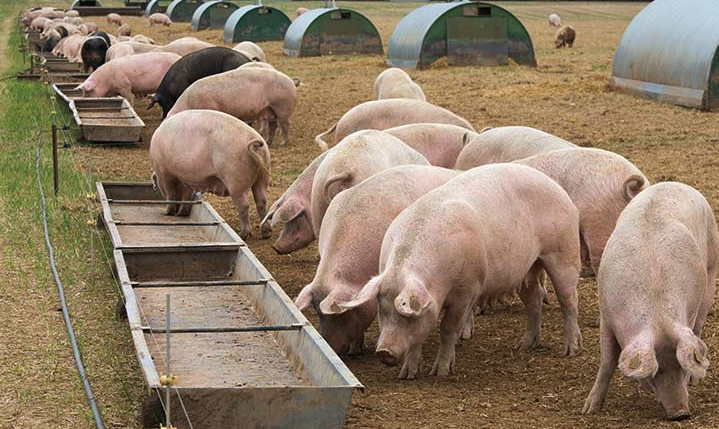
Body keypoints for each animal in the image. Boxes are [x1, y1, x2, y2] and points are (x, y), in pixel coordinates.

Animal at [150, 108, 272, 239]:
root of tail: (254, 143)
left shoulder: (165, 173)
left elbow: (171, 194)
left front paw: (167, 213)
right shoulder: (187, 179)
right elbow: (186, 195)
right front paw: (182, 213)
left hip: (235, 179)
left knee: (244, 205)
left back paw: (244, 234)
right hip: (263, 174)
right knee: (262, 201)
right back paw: (266, 233)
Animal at [169, 67, 298, 146]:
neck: (188, 104)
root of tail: (291, 81)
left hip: (282, 105)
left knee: (285, 125)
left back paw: (283, 143)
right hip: (270, 109)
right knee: (273, 126)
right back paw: (268, 142)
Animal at [334, 164, 584, 378]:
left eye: (405, 316)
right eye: (382, 310)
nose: (384, 353)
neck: (437, 282)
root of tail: (559, 189)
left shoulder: (468, 289)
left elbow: (448, 329)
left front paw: (441, 372)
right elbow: (418, 339)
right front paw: (407, 375)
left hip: (564, 252)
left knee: (569, 301)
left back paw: (570, 350)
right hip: (526, 269)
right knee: (534, 301)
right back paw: (523, 347)